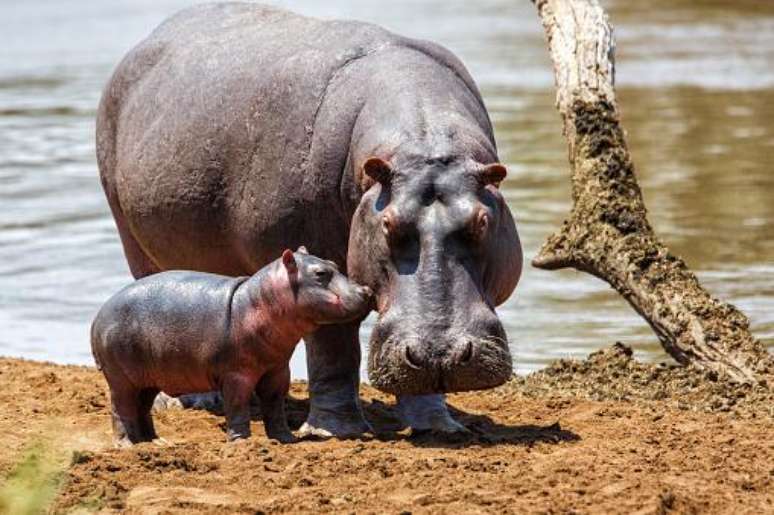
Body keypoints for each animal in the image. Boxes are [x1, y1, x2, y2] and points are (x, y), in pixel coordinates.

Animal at [92, 248, 372, 446]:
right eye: (320, 274)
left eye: (334, 264)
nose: (366, 290)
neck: (260, 301)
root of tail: (98, 317)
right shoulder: (237, 374)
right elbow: (237, 405)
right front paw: (241, 443)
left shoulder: (278, 369)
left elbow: (275, 404)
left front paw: (285, 438)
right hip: (121, 379)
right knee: (120, 409)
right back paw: (127, 445)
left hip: (148, 379)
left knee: (142, 407)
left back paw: (155, 442)